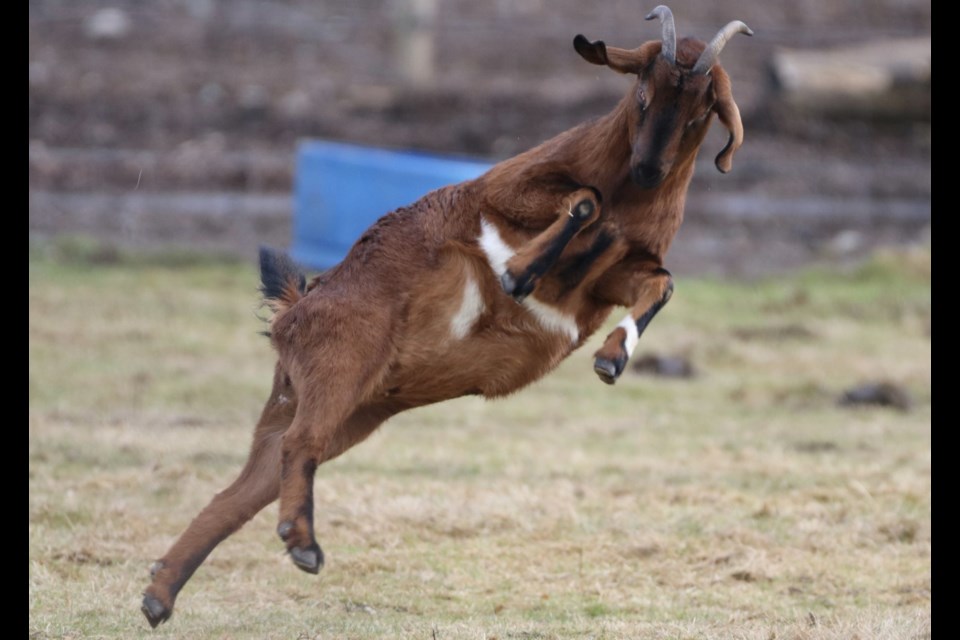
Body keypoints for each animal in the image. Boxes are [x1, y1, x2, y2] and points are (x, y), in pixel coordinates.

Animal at [141, 5, 752, 624]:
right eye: (643, 92)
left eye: (701, 111)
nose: (649, 168)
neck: (630, 193)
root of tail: (296, 307)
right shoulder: (515, 191)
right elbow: (585, 200)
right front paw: (518, 273)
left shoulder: (609, 280)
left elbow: (661, 282)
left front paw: (611, 359)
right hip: (341, 361)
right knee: (297, 447)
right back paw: (303, 544)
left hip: (334, 404)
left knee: (241, 491)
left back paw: (159, 596)